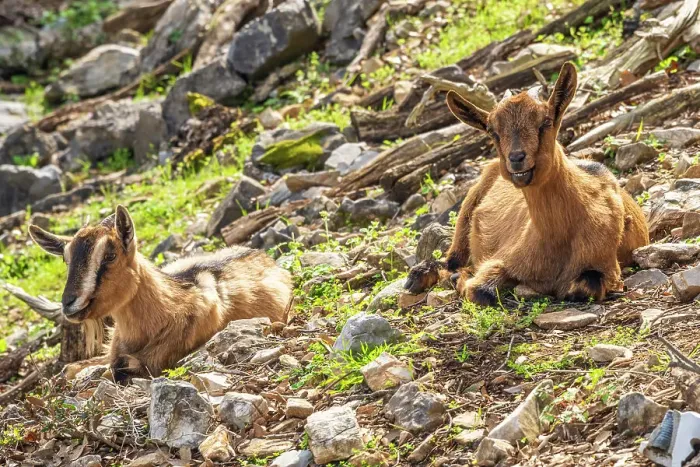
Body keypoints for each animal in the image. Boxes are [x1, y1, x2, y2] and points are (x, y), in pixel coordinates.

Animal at [29, 205, 293, 383]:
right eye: (66, 259)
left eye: (110, 256)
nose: (69, 303)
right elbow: (73, 369)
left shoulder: (159, 359)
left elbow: (121, 367)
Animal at [405, 62, 649, 304]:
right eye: (492, 131)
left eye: (546, 122)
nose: (516, 158)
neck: (559, 237)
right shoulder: (502, 258)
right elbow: (480, 290)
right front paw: (462, 278)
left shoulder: (607, 266)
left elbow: (585, 286)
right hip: (467, 211)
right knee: (451, 260)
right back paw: (419, 276)